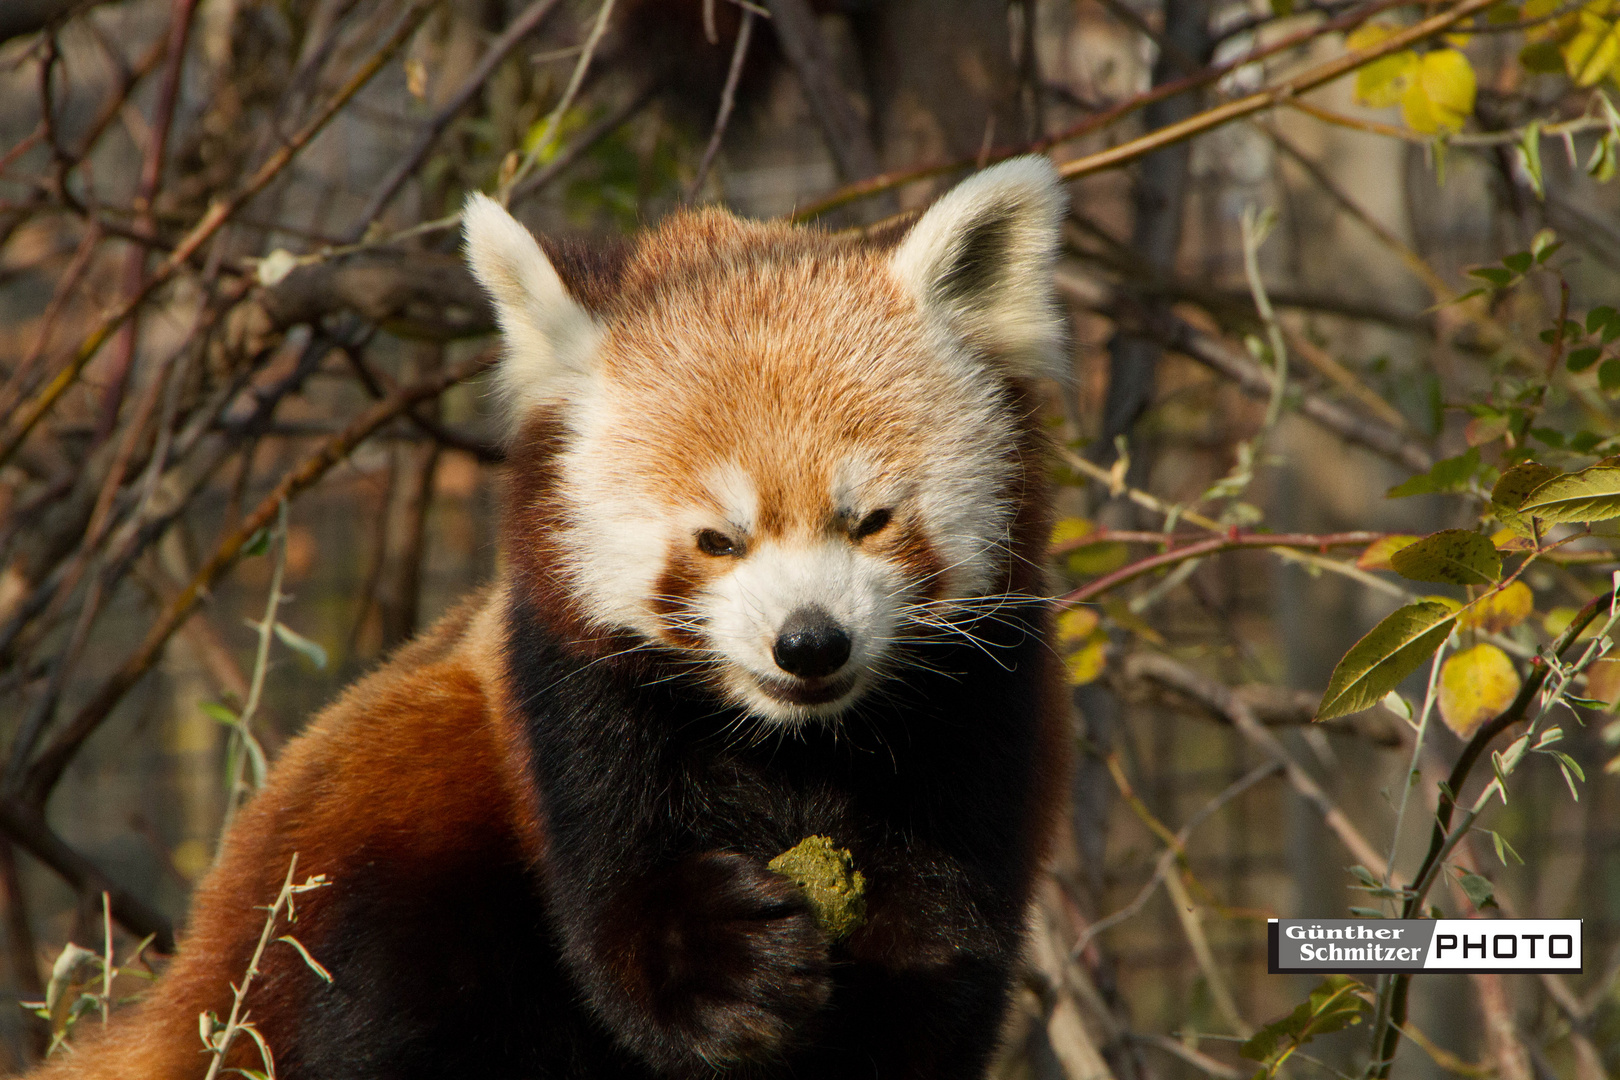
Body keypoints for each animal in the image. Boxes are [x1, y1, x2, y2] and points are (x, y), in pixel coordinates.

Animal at [34, 156, 1075, 1080]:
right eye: (717, 540)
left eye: (870, 521)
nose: (809, 642)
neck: (792, 744)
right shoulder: (566, 703)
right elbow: (619, 909)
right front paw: (719, 966)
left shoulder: (979, 722)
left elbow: (934, 953)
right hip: (386, 839)